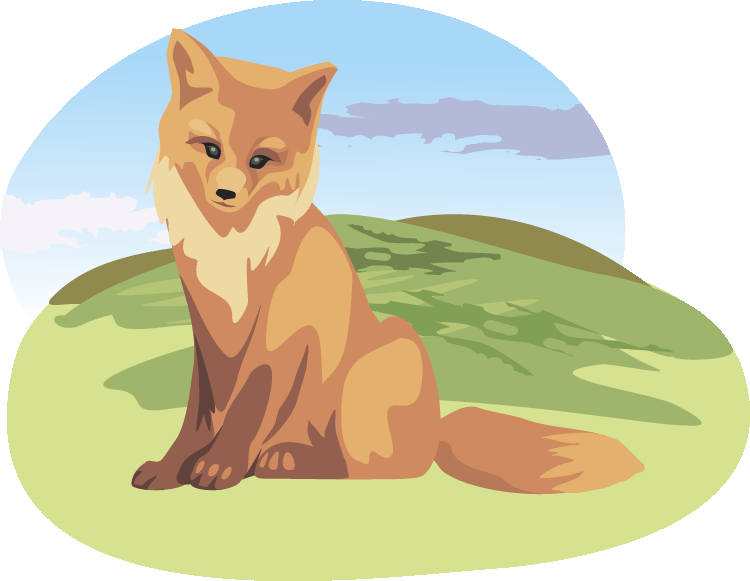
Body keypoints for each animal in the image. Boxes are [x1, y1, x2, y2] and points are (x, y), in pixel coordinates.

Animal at [132, 29, 644, 493]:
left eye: (261, 160)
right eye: (210, 148)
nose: (226, 194)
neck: (233, 250)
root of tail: (437, 432)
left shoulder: (278, 335)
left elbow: (249, 406)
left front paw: (221, 467)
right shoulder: (207, 331)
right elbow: (197, 416)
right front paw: (172, 469)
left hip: (389, 350)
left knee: (369, 469)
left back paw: (285, 459)